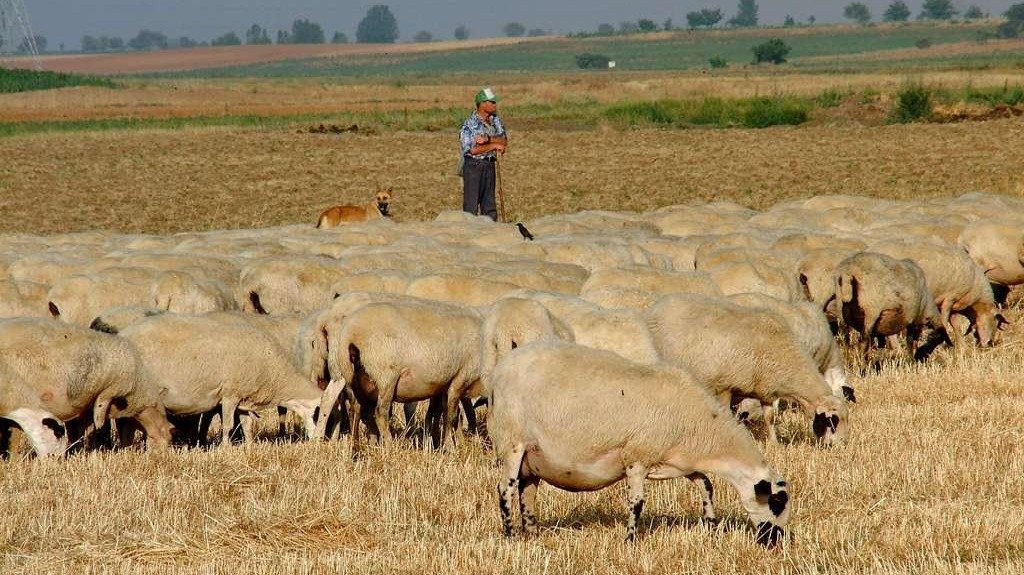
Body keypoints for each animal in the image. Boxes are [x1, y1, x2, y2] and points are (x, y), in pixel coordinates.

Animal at [647, 292, 847, 446]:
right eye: (832, 420)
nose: (839, 446)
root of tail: (658, 305)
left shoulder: (766, 391)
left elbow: (770, 417)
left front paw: (774, 444)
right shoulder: (724, 387)